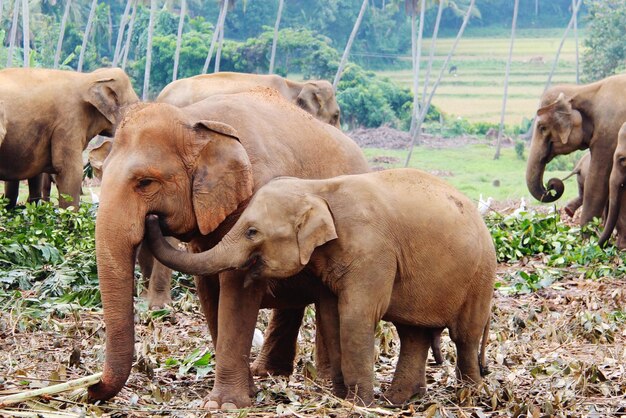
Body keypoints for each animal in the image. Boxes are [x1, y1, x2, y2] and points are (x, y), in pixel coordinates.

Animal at [88, 88, 370, 408]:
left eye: (145, 182)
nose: (91, 388)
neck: (196, 120)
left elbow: (236, 287)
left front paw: (225, 404)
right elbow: (209, 288)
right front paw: (247, 392)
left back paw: (320, 380)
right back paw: (269, 373)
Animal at [145, 168, 492, 406]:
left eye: (252, 232)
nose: (152, 217)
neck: (318, 188)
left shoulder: (373, 252)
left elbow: (355, 315)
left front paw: (358, 403)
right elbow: (329, 313)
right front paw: (340, 395)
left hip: (480, 276)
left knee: (464, 336)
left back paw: (470, 394)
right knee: (413, 334)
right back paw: (398, 399)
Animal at [524, 74, 624, 225]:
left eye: (542, 128)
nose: (550, 186)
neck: (580, 90)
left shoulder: (608, 135)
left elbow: (596, 183)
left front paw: (586, 232)